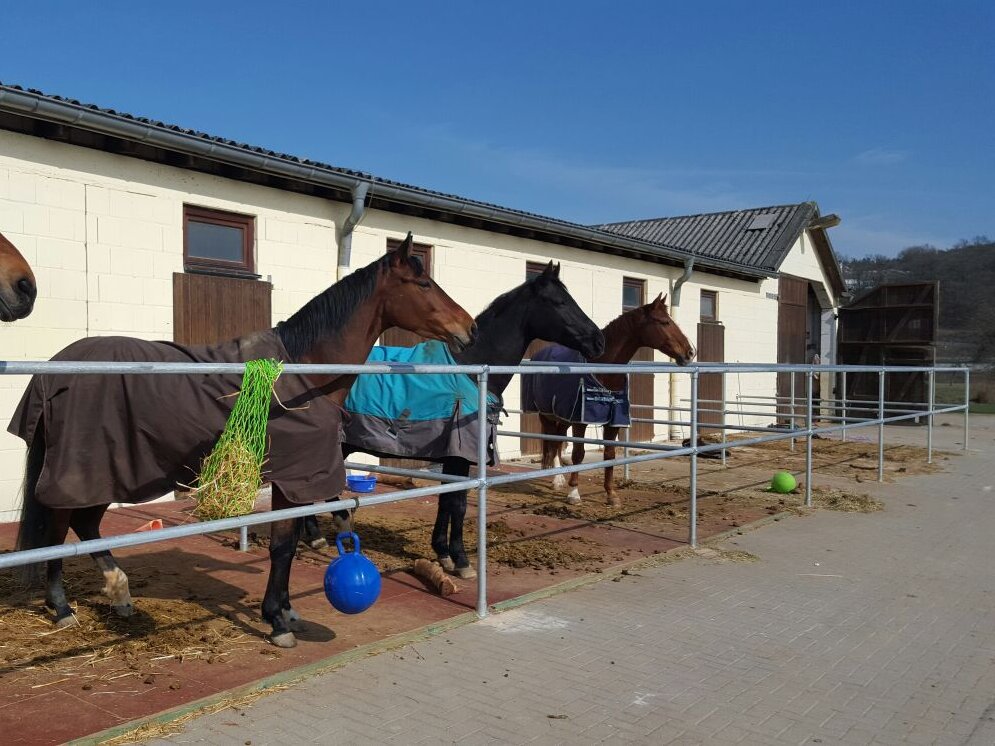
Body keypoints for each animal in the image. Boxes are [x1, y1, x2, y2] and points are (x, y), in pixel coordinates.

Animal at [10, 234, 478, 644]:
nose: (469, 328)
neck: (303, 373)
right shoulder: (292, 481)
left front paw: (286, 610)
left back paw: (120, 594)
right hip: (82, 472)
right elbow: (283, 547)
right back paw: (63, 609)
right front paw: (277, 622)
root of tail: (54, 368)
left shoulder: (299, 482)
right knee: (58, 531)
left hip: (108, 472)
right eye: (423, 283)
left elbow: (288, 543)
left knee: (85, 526)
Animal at [300, 258, 604, 580]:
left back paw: (316, 535)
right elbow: (457, 504)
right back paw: (324, 533)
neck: (470, 368)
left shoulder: (453, 456)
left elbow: (447, 501)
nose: (598, 341)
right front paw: (461, 560)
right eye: (560, 302)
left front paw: (443, 553)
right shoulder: (459, 454)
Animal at [528, 294, 692, 508]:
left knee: (558, 440)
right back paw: (557, 480)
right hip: (546, 414)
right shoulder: (581, 421)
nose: (690, 352)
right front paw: (574, 494)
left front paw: (611, 495)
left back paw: (560, 478)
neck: (603, 369)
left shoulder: (613, 421)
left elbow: (609, 455)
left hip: (563, 415)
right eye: (664, 322)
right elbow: (578, 454)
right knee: (552, 441)